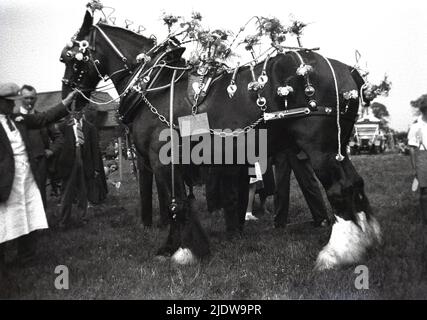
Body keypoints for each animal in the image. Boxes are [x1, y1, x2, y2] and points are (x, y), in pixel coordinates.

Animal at [59, 9, 382, 270]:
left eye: (68, 57)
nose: (67, 101)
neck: (154, 86)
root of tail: (347, 70)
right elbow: (179, 202)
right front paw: (179, 247)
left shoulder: (162, 161)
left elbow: (175, 203)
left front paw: (179, 251)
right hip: (338, 148)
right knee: (354, 184)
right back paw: (367, 239)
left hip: (320, 150)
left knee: (339, 189)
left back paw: (336, 254)